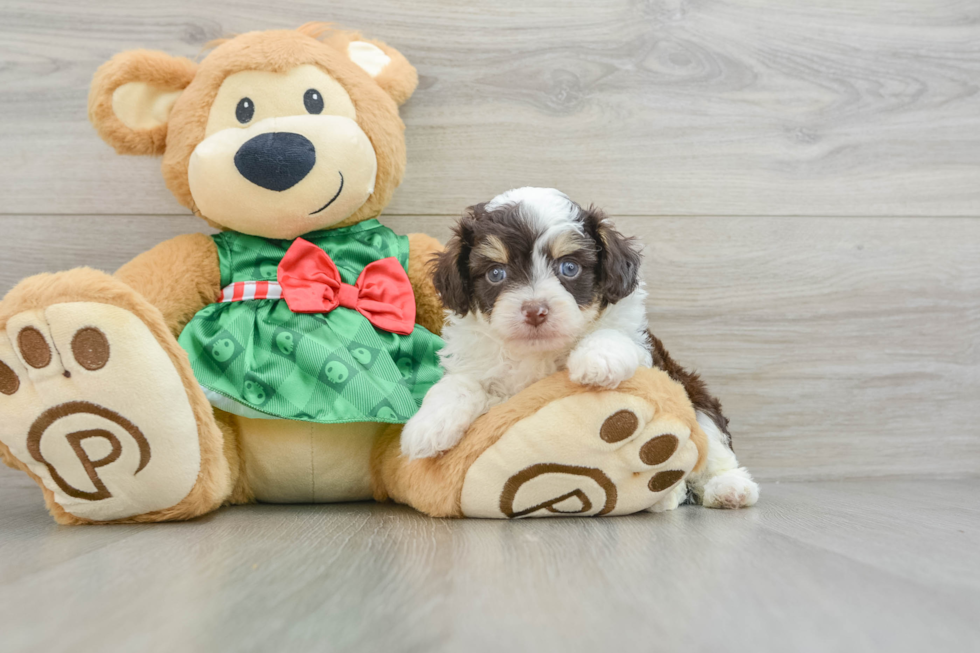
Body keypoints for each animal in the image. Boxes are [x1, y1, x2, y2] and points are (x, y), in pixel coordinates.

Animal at [398, 188, 756, 510]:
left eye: (569, 268)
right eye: (495, 273)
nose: (535, 310)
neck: (538, 354)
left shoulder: (644, 351)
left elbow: (612, 333)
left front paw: (598, 359)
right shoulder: (477, 365)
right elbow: (457, 384)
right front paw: (428, 426)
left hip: (695, 397)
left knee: (712, 447)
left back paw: (728, 488)